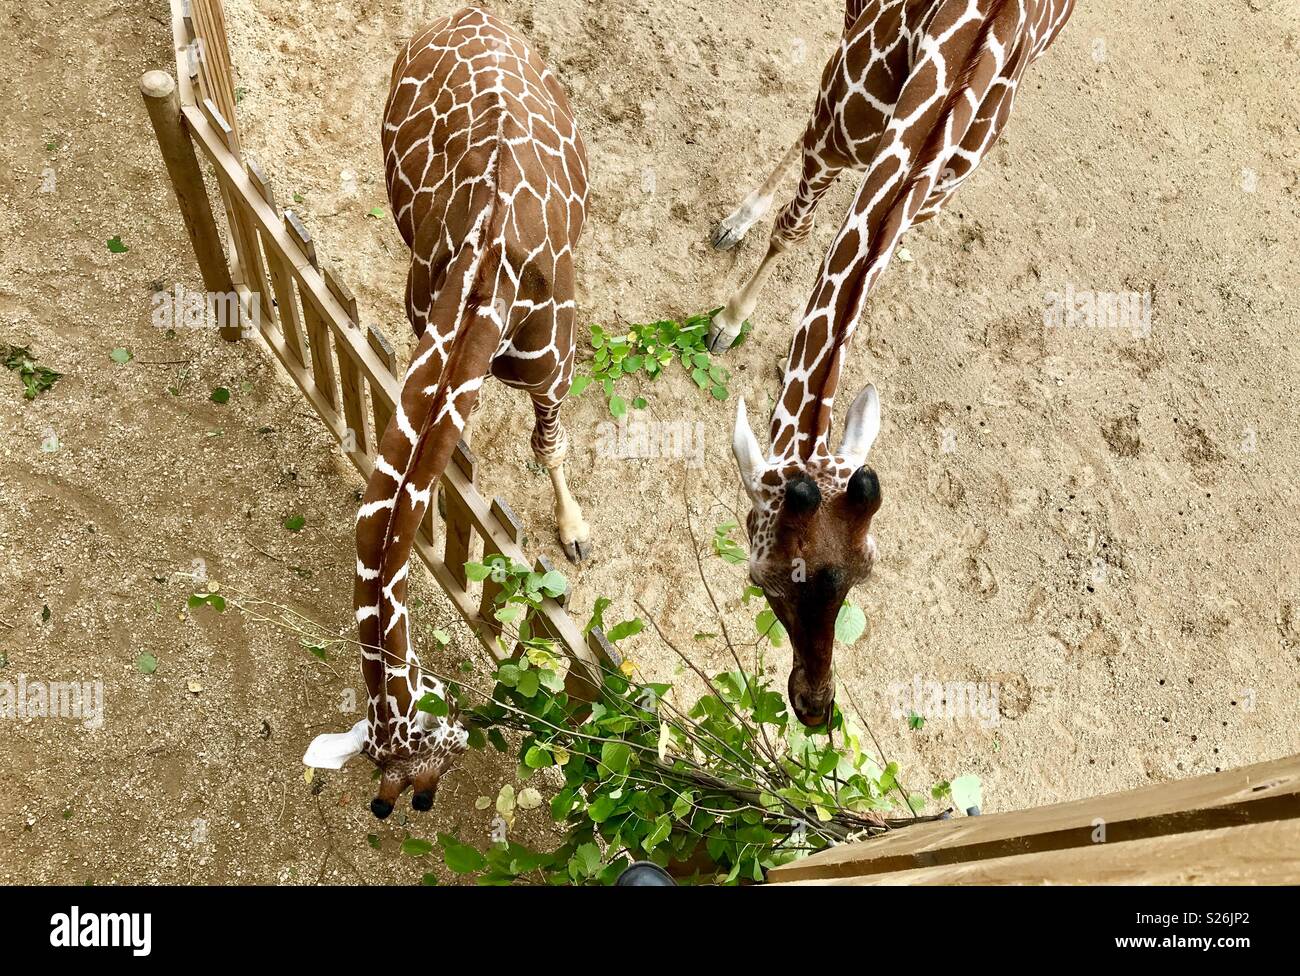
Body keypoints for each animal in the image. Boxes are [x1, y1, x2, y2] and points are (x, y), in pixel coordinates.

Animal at [302, 7, 590, 818]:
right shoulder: (418, 311)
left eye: (424, 774)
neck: (487, 275)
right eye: (395, 778)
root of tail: (471, 14)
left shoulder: (556, 358)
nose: (400, 807)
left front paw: (574, 532)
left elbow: (550, 443)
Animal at [725, 0, 1075, 726]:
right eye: (761, 578)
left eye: (867, 571)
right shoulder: (839, 123)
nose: (814, 705)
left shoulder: (933, 191)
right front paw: (728, 316)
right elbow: (796, 225)